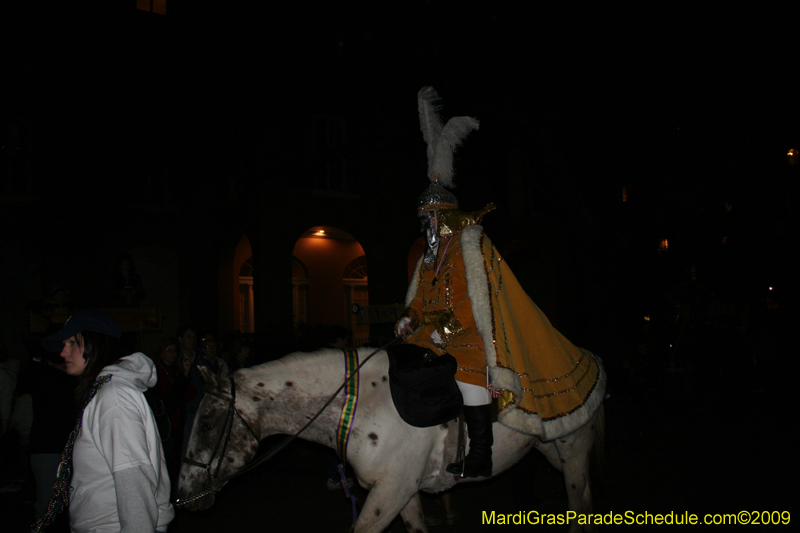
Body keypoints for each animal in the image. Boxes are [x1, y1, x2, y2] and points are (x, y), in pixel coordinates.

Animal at [178, 348, 608, 528]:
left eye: (208, 425)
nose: (184, 497)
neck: (365, 403)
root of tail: (588, 358)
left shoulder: (389, 493)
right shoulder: (400, 491)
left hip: (572, 451)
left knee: (579, 507)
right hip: (550, 450)